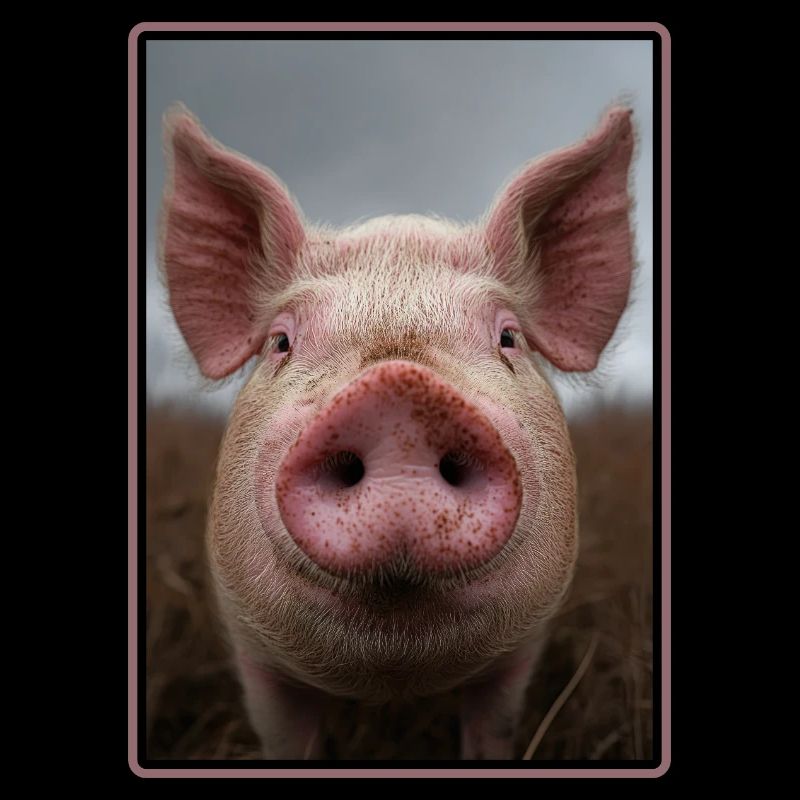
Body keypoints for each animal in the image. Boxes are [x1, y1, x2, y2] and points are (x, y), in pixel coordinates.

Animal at [158, 102, 636, 760]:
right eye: (281, 342)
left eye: (508, 338)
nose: (398, 392)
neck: (394, 678)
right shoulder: (255, 655)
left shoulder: (520, 654)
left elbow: (493, 729)